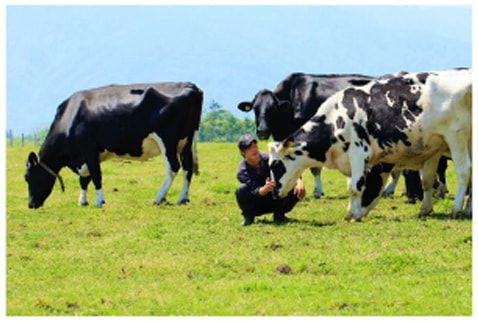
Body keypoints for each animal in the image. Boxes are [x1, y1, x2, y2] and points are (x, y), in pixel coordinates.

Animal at [24, 82, 204, 209]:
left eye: (28, 177)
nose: (31, 205)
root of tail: (191, 86)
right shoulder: (86, 156)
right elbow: (84, 179)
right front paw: (82, 201)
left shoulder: (89, 149)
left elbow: (96, 176)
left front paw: (99, 201)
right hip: (185, 143)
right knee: (187, 168)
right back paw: (182, 198)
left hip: (168, 140)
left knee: (173, 167)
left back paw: (158, 198)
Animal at [268, 69, 472, 221]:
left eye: (276, 166)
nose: (274, 192)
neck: (335, 120)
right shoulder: (433, 148)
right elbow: (427, 180)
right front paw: (425, 209)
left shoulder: (359, 152)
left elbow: (355, 186)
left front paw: (353, 214)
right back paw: (468, 209)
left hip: (457, 137)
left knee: (464, 171)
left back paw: (456, 209)